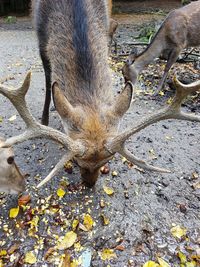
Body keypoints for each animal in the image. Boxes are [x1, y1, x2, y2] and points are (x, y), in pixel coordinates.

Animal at [0, 0, 199, 189]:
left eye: (108, 160)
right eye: (77, 161)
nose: (89, 184)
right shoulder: (41, 38)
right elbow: (49, 80)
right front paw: (44, 118)